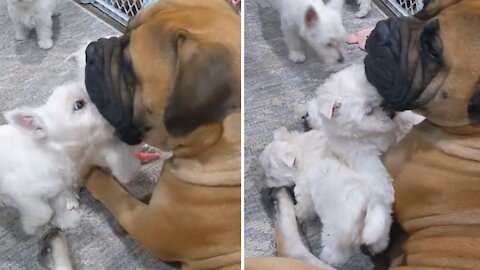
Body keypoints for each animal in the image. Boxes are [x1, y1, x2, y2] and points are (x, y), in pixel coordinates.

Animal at [0, 80, 140, 234]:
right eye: (79, 104)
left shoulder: (57, 191)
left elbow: (58, 207)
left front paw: (66, 221)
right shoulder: (23, 194)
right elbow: (43, 212)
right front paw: (30, 226)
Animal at [82, 0, 242, 270]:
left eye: (127, 66)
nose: (92, 49)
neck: (215, 145)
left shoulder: (147, 226)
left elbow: (116, 195)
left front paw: (93, 176)